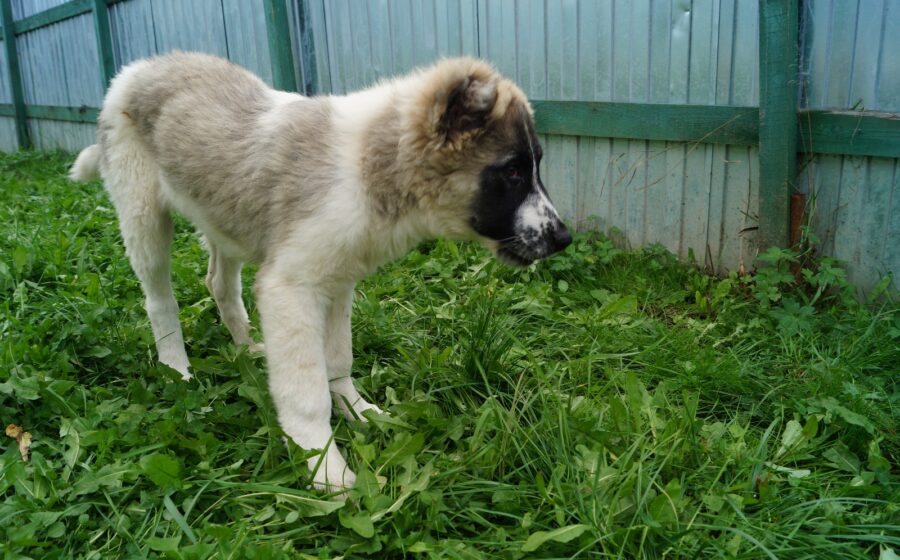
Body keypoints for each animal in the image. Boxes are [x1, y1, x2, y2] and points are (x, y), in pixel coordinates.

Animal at [69, 52, 571, 491]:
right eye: (511, 172)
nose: (563, 238)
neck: (372, 169)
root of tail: (137, 68)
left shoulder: (338, 280)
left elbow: (337, 358)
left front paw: (359, 411)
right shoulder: (291, 287)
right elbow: (306, 391)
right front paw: (323, 465)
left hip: (224, 218)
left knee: (219, 283)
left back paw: (247, 346)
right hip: (143, 216)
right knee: (160, 300)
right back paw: (177, 369)